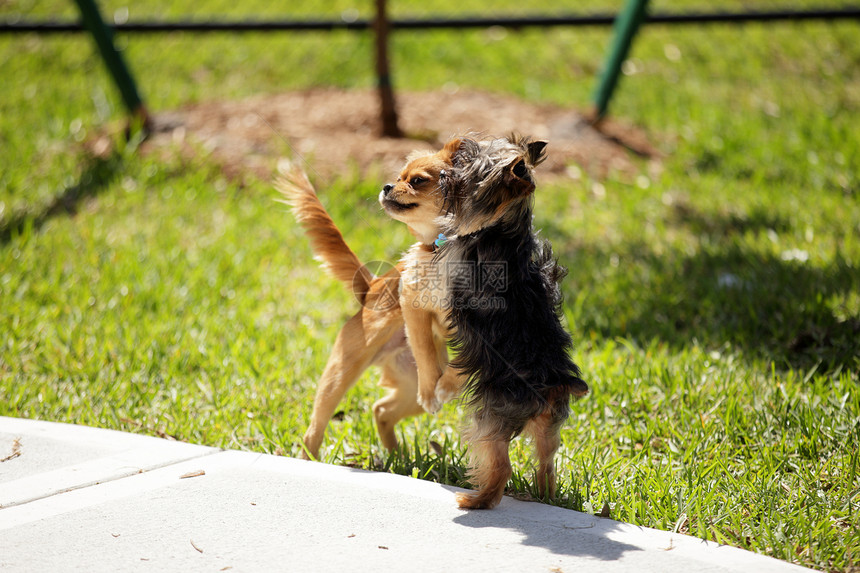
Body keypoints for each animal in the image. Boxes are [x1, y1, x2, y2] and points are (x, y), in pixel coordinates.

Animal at [276, 139, 464, 460]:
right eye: (401, 177)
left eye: (417, 181)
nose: (388, 185)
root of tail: (372, 285)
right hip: (341, 374)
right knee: (315, 429)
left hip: (411, 385)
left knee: (382, 410)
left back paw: (397, 457)